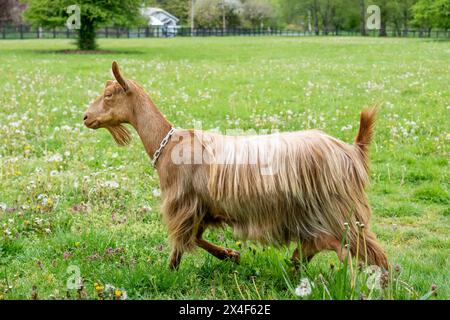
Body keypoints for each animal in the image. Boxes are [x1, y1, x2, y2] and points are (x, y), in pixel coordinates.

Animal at [85, 62, 390, 270]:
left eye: (110, 95)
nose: (86, 117)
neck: (168, 143)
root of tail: (352, 149)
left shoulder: (182, 203)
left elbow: (181, 243)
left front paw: (168, 272)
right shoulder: (205, 207)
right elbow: (195, 238)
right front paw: (230, 255)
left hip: (339, 210)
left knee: (367, 251)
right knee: (328, 244)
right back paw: (298, 265)